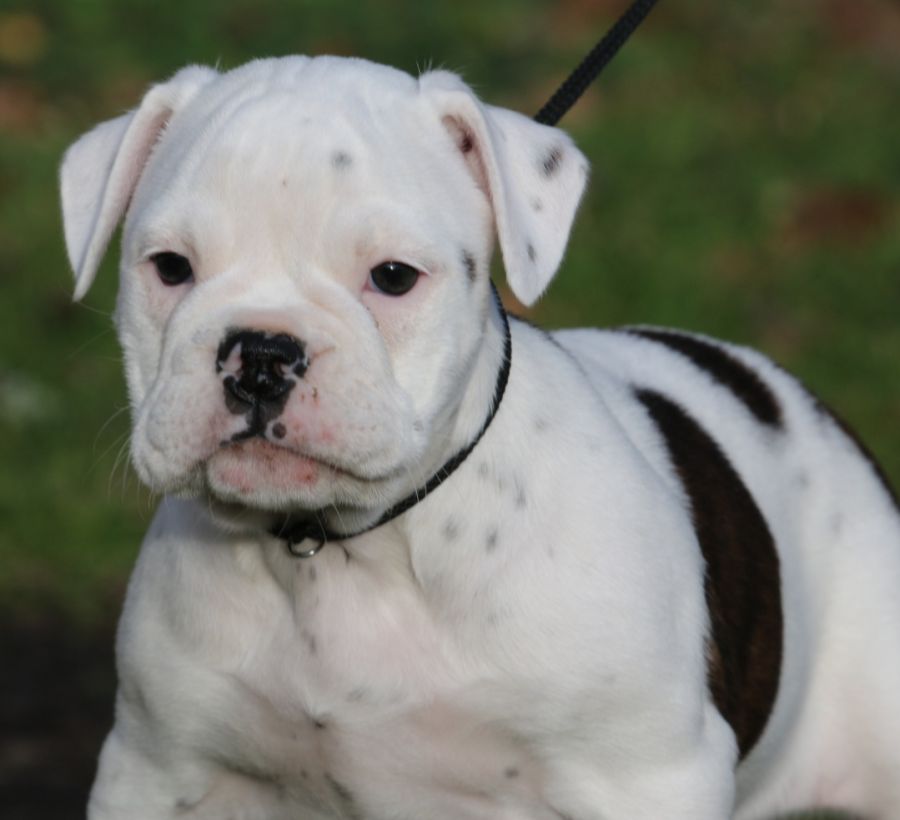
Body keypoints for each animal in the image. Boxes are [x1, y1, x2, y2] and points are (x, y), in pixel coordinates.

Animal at [59, 56, 900, 819]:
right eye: (170, 267)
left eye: (393, 276)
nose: (261, 355)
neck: (343, 552)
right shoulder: (155, 769)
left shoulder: (644, 777)